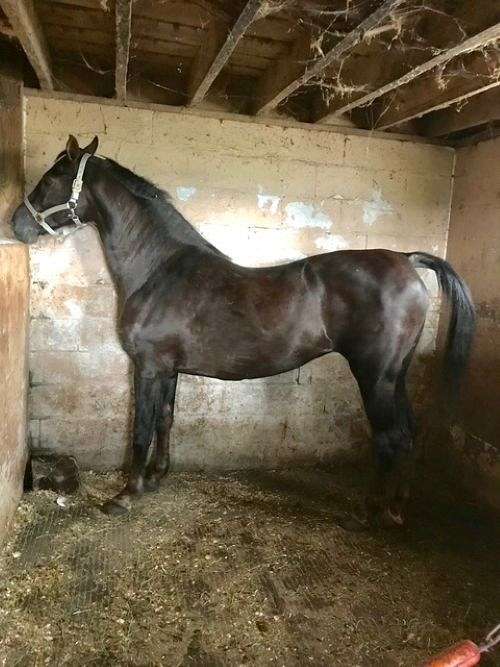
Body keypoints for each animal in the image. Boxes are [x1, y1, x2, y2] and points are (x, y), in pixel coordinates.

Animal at [12, 135, 475, 526]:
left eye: (51, 178)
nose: (16, 223)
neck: (159, 270)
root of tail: (406, 259)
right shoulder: (168, 369)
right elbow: (165, 418)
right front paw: (157, 478)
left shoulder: (146, 366)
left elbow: (140, 429)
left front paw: (126, 495)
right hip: (397, 375)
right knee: (408, 433)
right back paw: (397, 508)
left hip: (374, 376)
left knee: (388, 438)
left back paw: (367, 511)